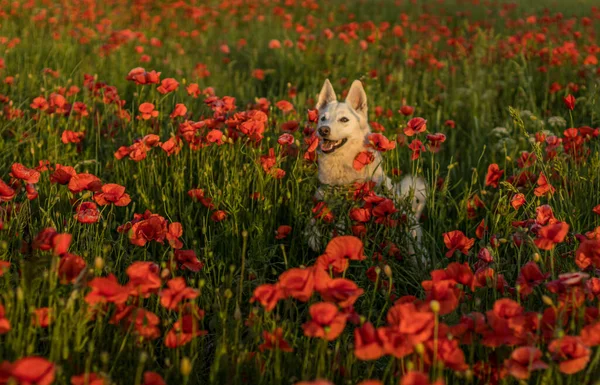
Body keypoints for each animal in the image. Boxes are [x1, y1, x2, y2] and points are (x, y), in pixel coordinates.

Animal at [310, 79, 426, 260]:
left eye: (344, 119)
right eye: (323, 119)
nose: (323, 130)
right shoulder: (323, 199)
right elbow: (313, 225)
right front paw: (314, 241)